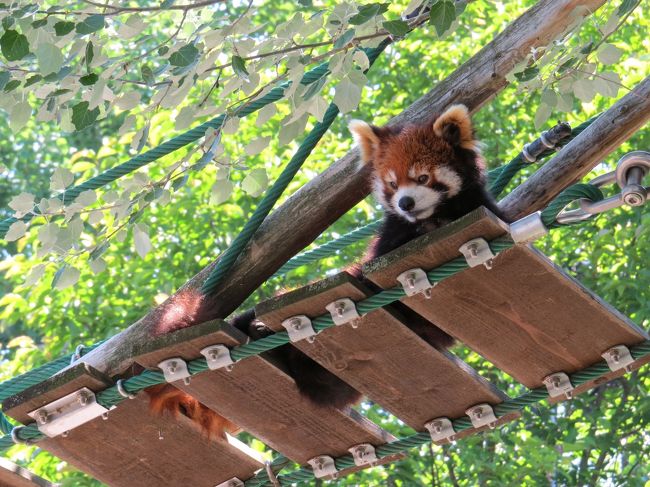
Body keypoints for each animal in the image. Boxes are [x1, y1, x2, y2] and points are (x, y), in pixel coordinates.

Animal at [147, 104, 502, 438]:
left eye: (423, 178)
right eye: (392, 183)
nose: (405, 203)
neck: (429, 220)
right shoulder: (389, 239)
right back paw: (258, 328)